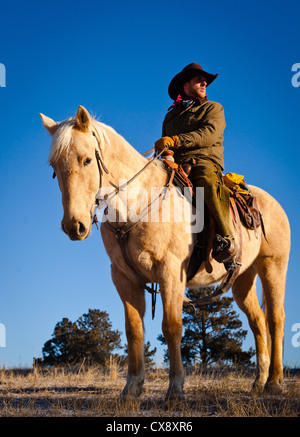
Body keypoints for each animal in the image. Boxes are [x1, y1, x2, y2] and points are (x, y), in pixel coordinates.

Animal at [40, 105, 290, 398]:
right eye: (54, 167)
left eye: (87, 160)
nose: (73, 226)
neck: (138, 204)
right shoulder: (124, 279)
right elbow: (134, 331)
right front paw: (131, 389)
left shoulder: (171, 274)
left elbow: (171, 328)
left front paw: (175, 389)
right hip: (242, 279)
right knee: (258, 323)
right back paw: (259, 382)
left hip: (273, 266)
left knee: (275, 319)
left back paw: (274, 382)